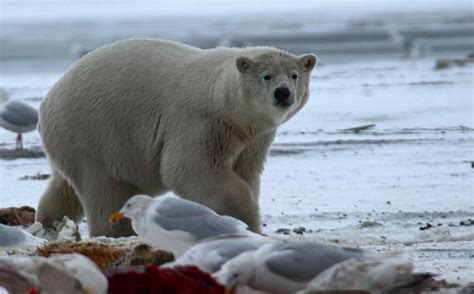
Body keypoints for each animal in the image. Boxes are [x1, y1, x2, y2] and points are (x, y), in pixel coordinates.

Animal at [37, 38, 316, 237]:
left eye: (294, 75)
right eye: (267, 75)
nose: (283, 93)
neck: (222, 100)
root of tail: (46, 103)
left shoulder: (252, 139)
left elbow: (247, 172)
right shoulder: (200, 123)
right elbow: (188, 169)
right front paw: (247, 220)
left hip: (72, 142)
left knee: (64, 187)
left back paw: (48, 222)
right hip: (93, 135)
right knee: (105, 189)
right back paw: (119, 232)